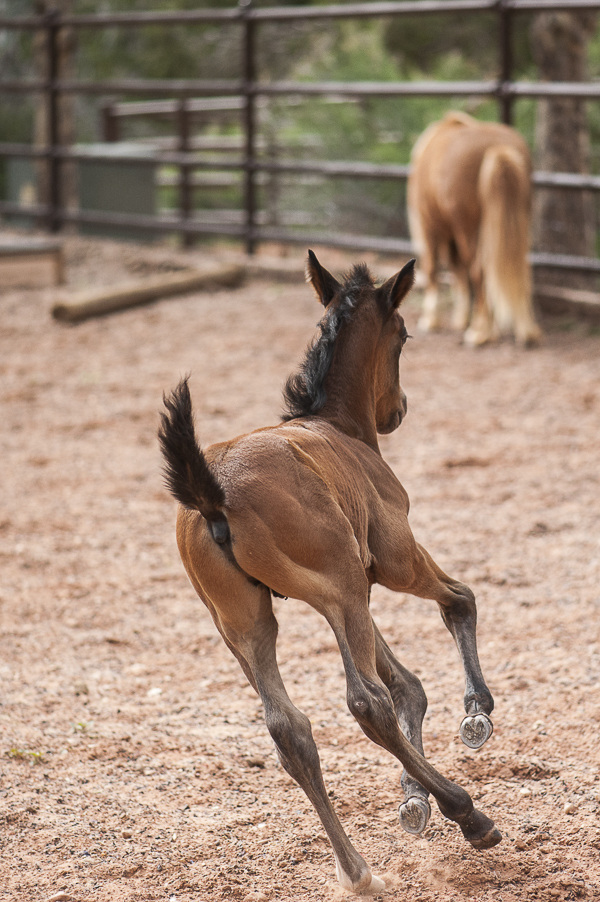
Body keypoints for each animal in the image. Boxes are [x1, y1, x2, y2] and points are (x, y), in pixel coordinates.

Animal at [157, 254, 500, 896]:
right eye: (403, 335)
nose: (398, 410)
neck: (336, 425)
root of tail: (210, 492)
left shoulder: (359, 586)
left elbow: (409, 685)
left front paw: (414, 798)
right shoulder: (391, 561)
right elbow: (458, 602)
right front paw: (477, 713)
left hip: (246, 624)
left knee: (291, 729)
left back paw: (358, 870)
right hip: (338, 589)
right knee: (366, 702)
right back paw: (469, 815)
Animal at [410, 113, 540, 346]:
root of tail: (498, 148)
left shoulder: (430, 227)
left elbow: (432, 269)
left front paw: (430, 320)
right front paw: (462, 319)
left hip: (468, 230)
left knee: (478, 270)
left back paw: (480, 333)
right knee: (516, 270)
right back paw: (524, 331)